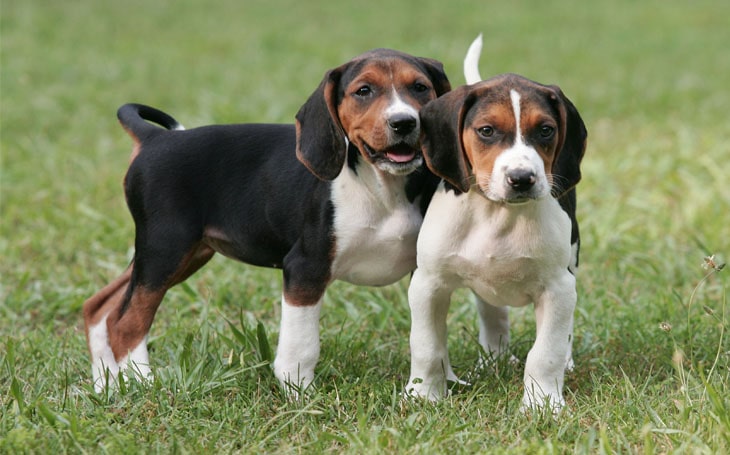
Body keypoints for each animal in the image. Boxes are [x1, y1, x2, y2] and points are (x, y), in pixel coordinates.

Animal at [85, 47, 450, 396]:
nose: (404, 122)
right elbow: (301, 346)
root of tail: (154, 138)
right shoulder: (305, 269)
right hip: (165, 249)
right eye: (364, 90)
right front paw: (301, 395)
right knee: (126, 321)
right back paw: (141, 383)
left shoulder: (425, 272)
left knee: (99, 307)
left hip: (178, 254)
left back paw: (107, 386)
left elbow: (430, 336)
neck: (382, 188)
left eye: (420, 87)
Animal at [404, 36, 584, 414]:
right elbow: (427, 347)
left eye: (546, 130)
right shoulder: (427, 284)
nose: (522, 178)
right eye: (486, 131)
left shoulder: (559, 288)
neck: (497, 213)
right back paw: (493, 360)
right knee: (492, 312)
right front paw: (423, 395)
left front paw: (542, 403)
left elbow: (545, 352)